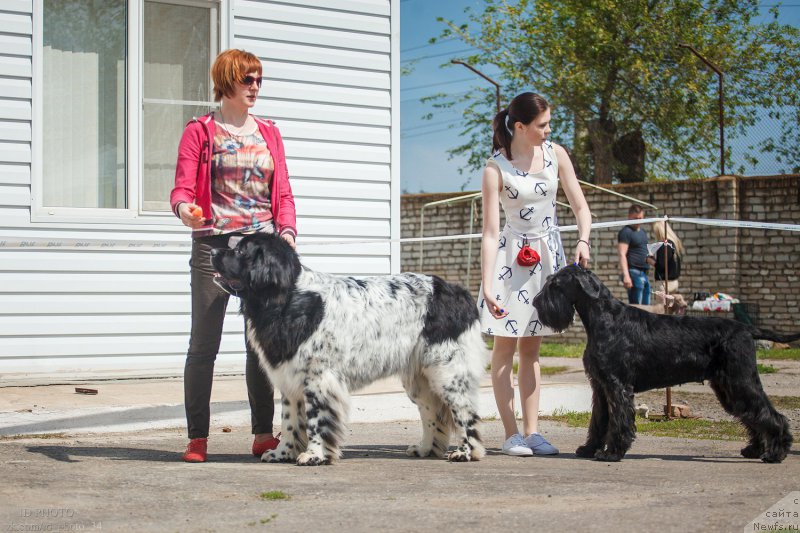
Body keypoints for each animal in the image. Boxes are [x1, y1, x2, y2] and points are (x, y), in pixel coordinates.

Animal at [211, 231, 488, 464]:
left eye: (240, 251)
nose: (212, 251)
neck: (287, 298)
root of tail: (459, 292)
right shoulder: (290, 378)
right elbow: (289, 420)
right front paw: (283, 453)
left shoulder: (318, 379)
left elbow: (315, 420)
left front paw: (314, 455)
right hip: (420, 379)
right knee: (431, 413)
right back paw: (426, 449)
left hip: (447, 372)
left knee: (465, 412)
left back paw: (466, 452)